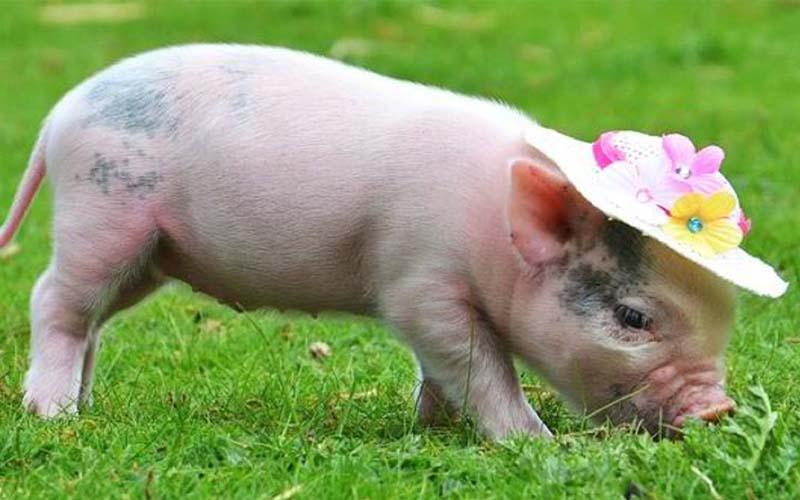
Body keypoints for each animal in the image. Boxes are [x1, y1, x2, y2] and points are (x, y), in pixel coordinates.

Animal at [0, 44, 736, 439]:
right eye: (632, 318)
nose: (718, 407)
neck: (492, 235)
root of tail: (59, 114)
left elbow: (445, 368)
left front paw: (434, 427)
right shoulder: (419, 279)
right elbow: (477, 362)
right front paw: (536, 441)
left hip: (147, 255)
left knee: (93, 323)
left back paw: (85, 403)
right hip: (102, 214)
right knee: (52, 301)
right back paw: (55, 415)